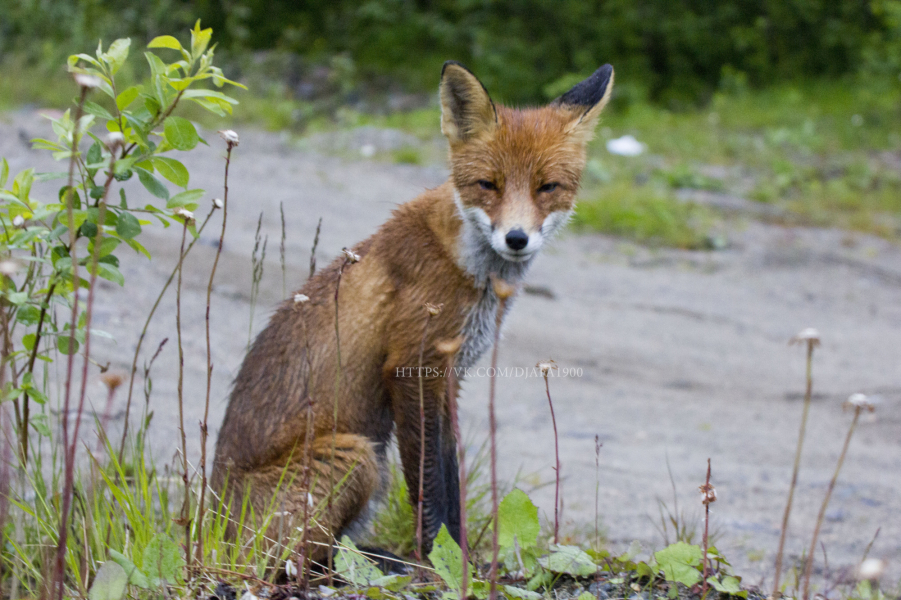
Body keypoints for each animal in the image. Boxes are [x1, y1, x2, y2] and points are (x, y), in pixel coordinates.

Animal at [210, 60, 614, 565]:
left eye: (547, 188)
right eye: (489, 185)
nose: (516, 238)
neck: (467, 268)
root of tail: (207, 523)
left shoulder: (447, 378)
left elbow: (451, 478)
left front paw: (461, 557)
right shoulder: (411, 367)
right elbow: (429, 486)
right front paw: (437, 561)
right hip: (356, 456)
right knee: (290, 563)